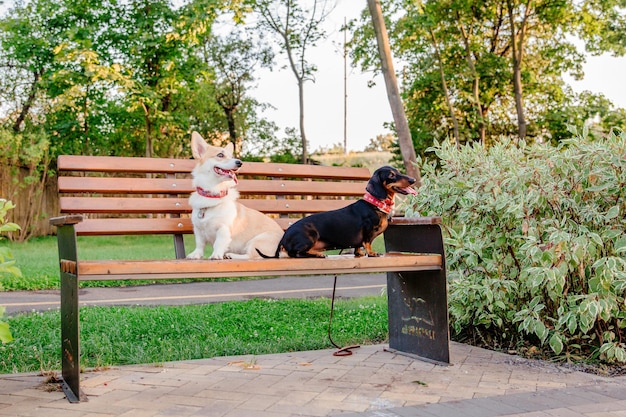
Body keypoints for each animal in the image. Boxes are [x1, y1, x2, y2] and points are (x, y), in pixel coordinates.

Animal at [256, 165, 416, 256]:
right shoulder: (367, 230)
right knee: (294, 253)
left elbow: (358, 247)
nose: (413, 180)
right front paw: (371, 253)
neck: (375, 204)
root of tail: (284, 236)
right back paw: (317, 255)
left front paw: (359, 253)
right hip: (311, 235)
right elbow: (367, 242)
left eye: (398, 172)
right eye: (391, 175)